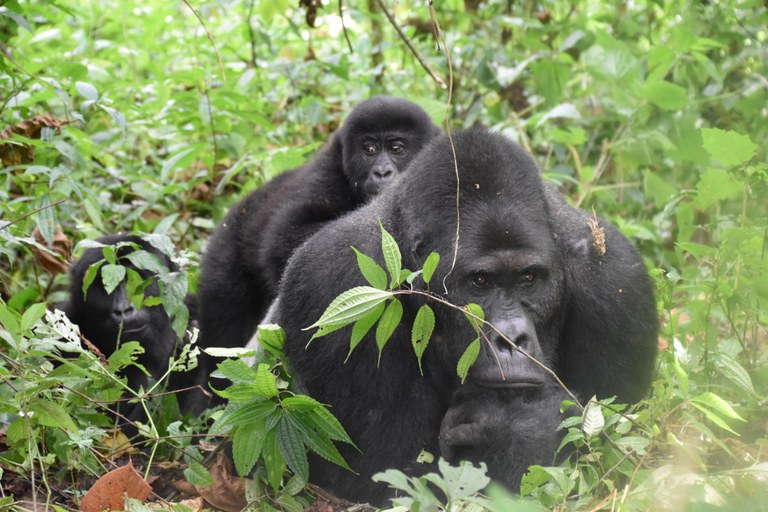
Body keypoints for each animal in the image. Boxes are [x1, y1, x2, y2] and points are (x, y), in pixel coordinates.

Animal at [272, 126, 656, 502]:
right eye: (480, 282)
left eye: (528, 279)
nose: (511, 339)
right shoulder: (330, 283)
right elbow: (378, 478)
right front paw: (522, 432)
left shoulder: (615, 276)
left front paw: (518, 430)